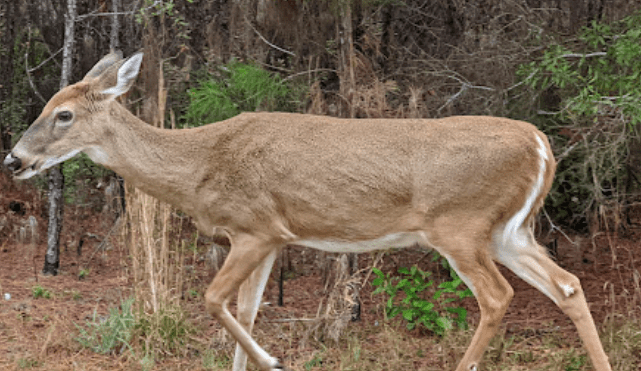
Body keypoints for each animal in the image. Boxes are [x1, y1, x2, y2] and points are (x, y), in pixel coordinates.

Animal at [2, 53, 612, 371]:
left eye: (62, 114)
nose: (14, 160)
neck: (198, 166)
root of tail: (540, 142)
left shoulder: (255, 226)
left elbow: (214, 300)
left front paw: (273, 361)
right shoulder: (270, 238)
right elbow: (245, 311)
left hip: (460, 223)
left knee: (498, 296)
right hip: (512, 229)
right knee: (567, 284)